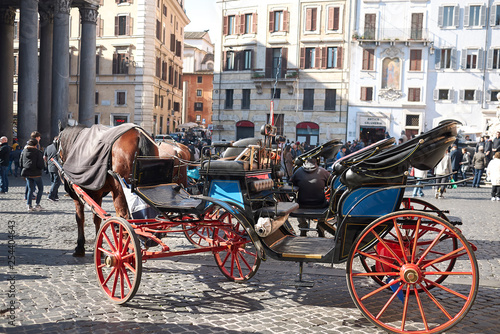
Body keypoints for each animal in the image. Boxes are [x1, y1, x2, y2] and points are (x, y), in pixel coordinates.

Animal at [58, 124, 158, 258]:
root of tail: (138, 134)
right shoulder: (98, 193)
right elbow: (97, 218)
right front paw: (98, 246)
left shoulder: (78, 194)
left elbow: (80, 218)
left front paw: (80, 246)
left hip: (119, 190)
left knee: (123, 217)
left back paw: (124, 250)